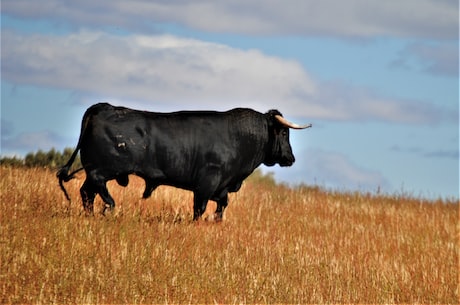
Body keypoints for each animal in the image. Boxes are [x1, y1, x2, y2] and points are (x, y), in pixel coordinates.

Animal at [55, 103, 310, 220]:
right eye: (284, 132)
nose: (291, 158)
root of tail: (103, 107)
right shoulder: (207, 183)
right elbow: (199, 208)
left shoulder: (221, 187)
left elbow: (221, 207)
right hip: (104, 168)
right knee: (97, 187)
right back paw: (110, 206)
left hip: (92, 171)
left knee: (86, 192)